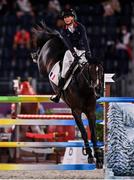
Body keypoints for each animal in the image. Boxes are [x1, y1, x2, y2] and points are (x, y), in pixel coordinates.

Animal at [32, 22, 103, 169]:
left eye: (101, 71)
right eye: (90, 71)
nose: (98, 89)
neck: (84, 88)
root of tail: (53, 39)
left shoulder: (91, 111)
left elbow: (93, 134)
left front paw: (99, 159)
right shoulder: (76, 111)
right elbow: (83, 133)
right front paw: (90, 156)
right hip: (42, 64)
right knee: (40, 57)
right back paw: (34, 54)